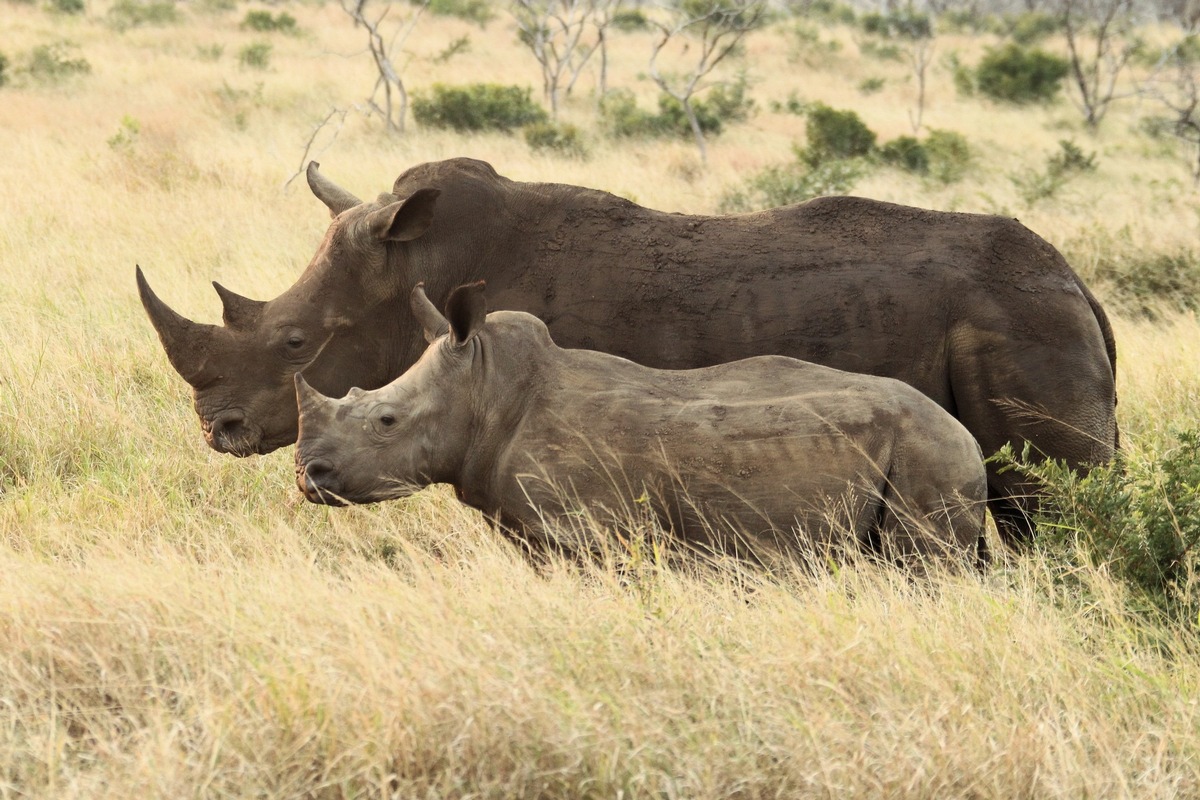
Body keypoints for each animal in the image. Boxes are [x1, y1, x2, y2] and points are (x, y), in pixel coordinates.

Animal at [136, 155, 1118, 544]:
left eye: (297, 341)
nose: (217, 429)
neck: (419, 259)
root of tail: (1080, 285)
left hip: (1025, 325)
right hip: (1029, 319)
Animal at [295, 284, 988, 573]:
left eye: (386, 421)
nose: (308, 476)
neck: (486, 389)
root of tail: (968, 436)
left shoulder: (588, 534)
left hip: (930, 454)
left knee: (924, 570)